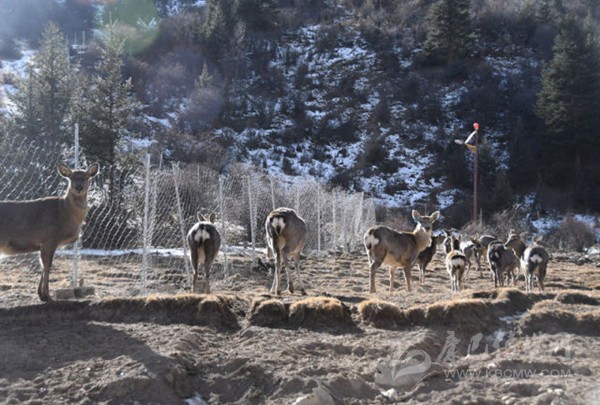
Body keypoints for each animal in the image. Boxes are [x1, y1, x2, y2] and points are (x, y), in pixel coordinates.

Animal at [0, 163, 99, 302]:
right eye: (71, 177)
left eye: (86, 177)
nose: (78, 187)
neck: (64, 213)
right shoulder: (49, 238)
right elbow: (47, 266)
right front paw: (47, 295)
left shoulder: (43, 243)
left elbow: (43, 266)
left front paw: (41, 295)